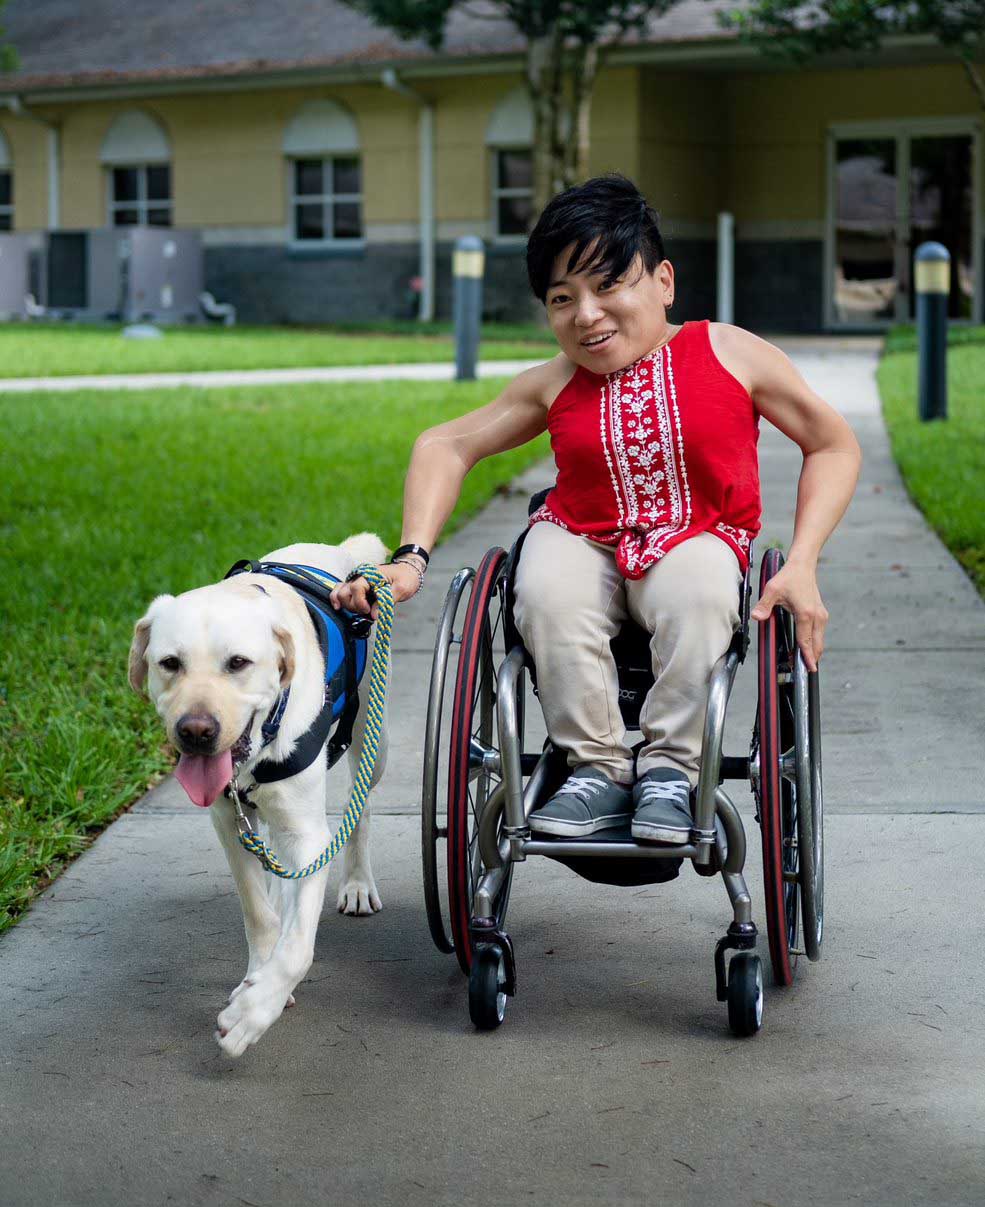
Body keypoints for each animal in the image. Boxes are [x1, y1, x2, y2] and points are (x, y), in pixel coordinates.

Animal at [129, 538, 388, 1057]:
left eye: (238, 663)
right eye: (170, 663)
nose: (196, 732)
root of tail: (340, 547)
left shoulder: (308, 837)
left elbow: (297, 946)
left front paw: (253, 1013)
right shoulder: (229, 825)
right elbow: (259, 914)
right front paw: (258, 979)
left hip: (373, 742)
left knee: (361, 811)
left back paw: (355, 883)